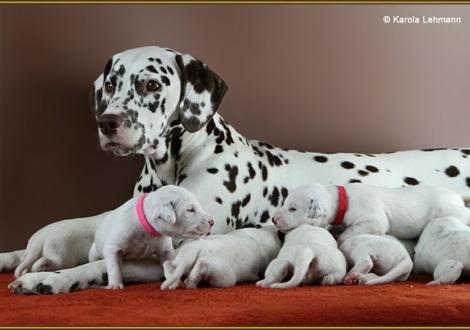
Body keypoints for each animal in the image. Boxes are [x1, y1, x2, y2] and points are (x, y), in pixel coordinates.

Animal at [270, 183, 470, 245]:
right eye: (284, 203)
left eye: (293, 209)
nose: (273, 219)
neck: (343, 200)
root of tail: (454, 194)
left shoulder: (373, 220)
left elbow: (348, 234)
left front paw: (340, 239)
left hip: (451, 210)